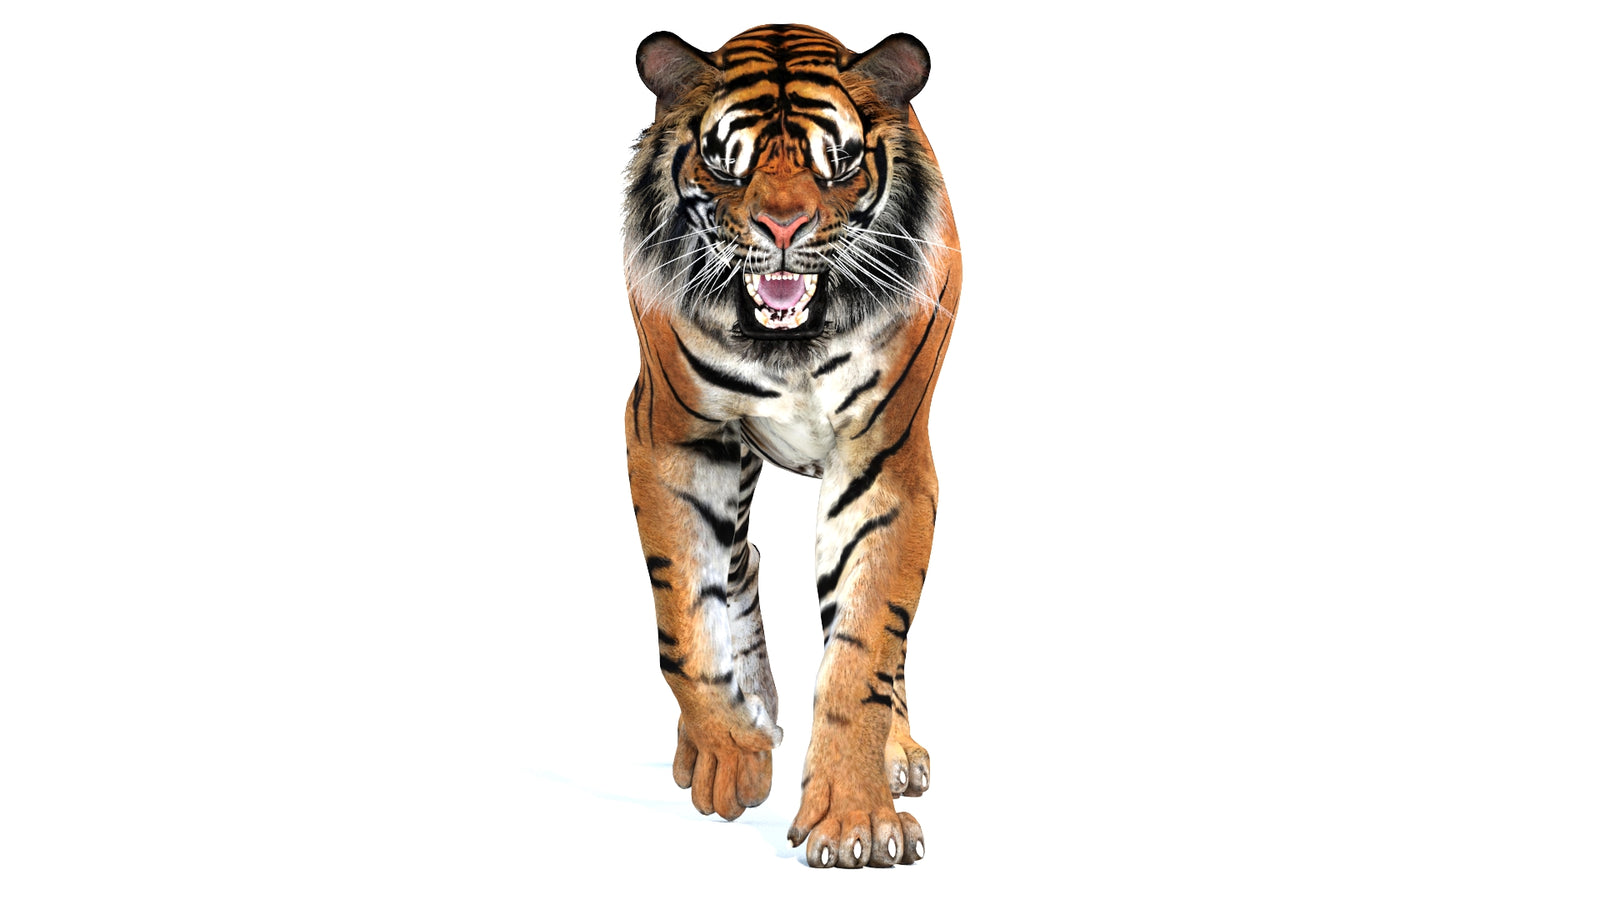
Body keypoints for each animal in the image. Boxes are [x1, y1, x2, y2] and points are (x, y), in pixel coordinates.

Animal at [622, 23, 961, 868]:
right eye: (725, 163)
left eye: (834, 163)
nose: (781, 229)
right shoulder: (672, 436)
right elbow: (685, 619)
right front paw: (730, 756)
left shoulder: (885, 461)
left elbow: (865, 646)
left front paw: (855, 820)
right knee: (738, 564)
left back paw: (897, 752)